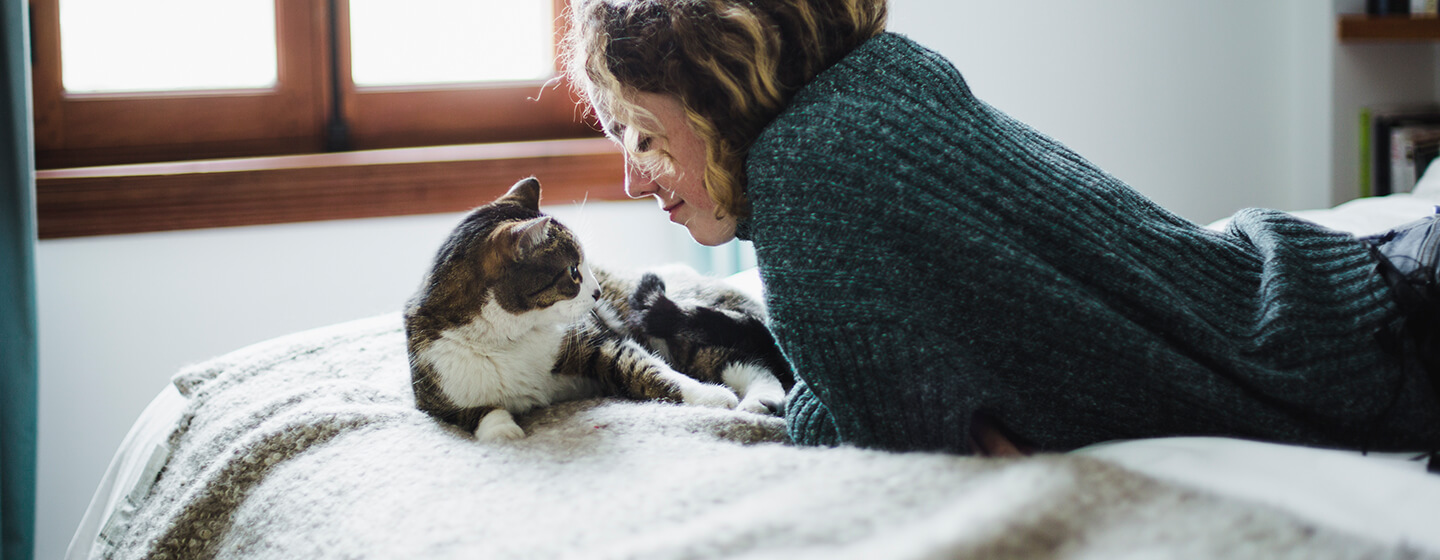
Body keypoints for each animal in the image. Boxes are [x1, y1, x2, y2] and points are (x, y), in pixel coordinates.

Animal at [400, 177, 794, 437]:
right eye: (574, 272)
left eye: (586, 266)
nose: (598, 292)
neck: (509, 338)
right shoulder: (435, 393)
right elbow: (477, 414)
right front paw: (503, 432)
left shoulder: (595, 341)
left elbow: (648, 370)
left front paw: (709, 395)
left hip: (674, 325)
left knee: (744, 362)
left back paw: (759, 400)